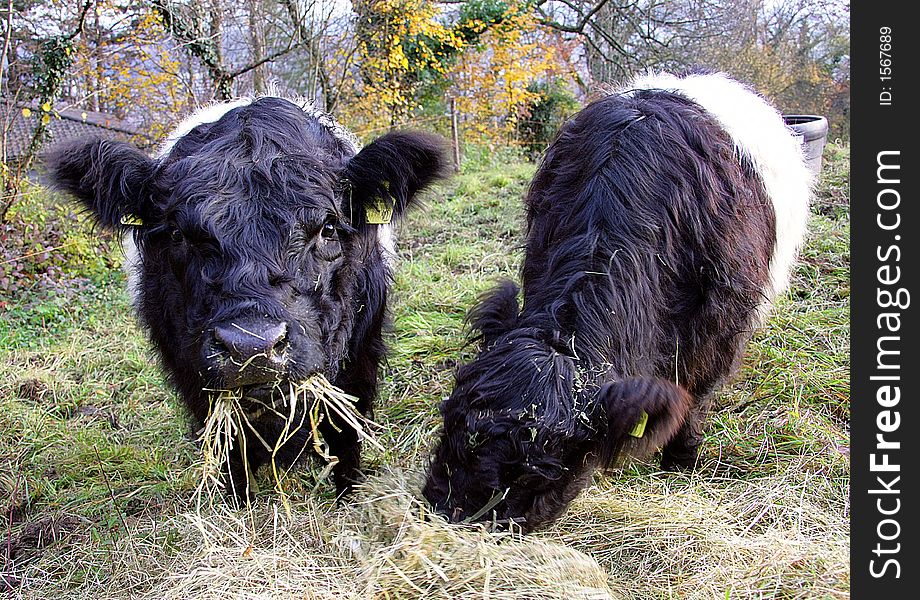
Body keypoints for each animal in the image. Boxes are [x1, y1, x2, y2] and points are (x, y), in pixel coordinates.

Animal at [47, 95, 450, 496]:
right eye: (178, 234)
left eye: (328, 228)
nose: (251, 349)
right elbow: (231, 456)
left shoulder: (359, 363)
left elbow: (345, 438)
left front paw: (347, 497)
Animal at [420, 72, 808, 532]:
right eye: (449, 415)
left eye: (536, 472)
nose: (445, 512)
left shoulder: (722, 327)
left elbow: (695, 394)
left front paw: (682, 460)